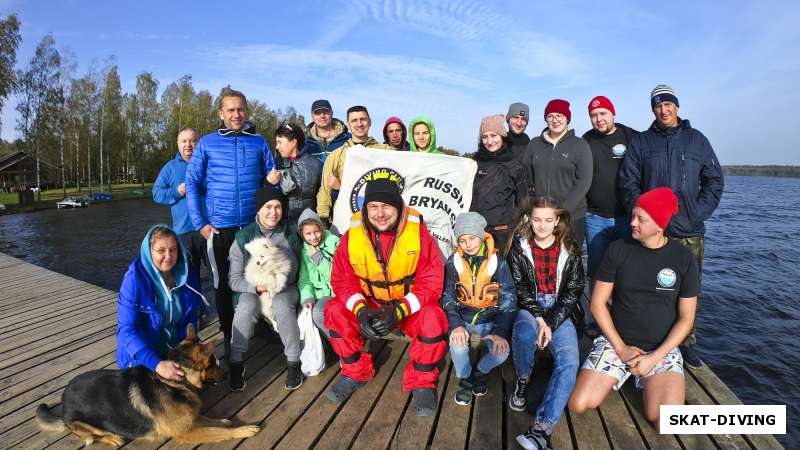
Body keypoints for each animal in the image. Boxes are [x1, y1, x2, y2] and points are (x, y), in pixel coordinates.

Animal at [35, 324, 260, 446]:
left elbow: (210, 421)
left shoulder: (191, 420)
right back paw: (113, 438)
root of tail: (64, 398)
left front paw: (223, 421)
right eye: (213, 364)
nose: (227, 374)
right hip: (85, 425)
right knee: (91, 437)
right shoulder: (185, 432)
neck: (173, 383)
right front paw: (243, 430)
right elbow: (220, 432)